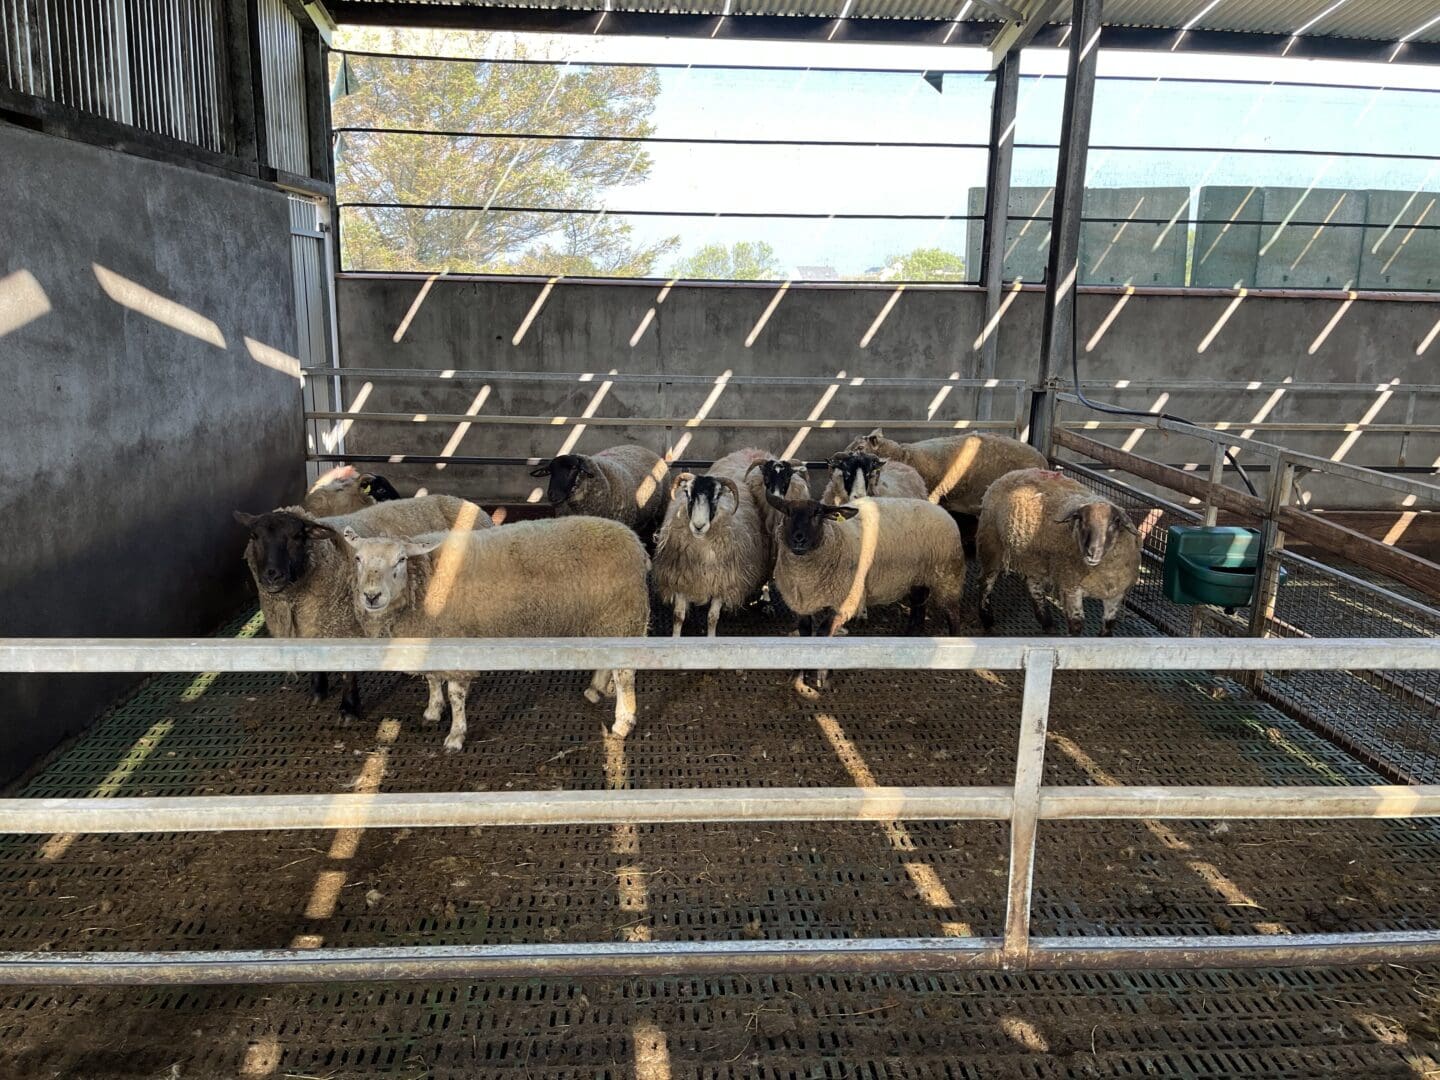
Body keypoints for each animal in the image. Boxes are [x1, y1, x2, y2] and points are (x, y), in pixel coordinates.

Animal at [232, 494, 490, 718]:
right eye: (254, 536)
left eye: (297, 536)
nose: (272, 576)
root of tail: (465, 502)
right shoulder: (311, 628)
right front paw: (318, 692)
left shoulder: (348, 626)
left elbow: (349, 672)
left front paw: (349, 709)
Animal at [343, 516, 650, 750]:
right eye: (357, 558)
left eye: (401, 559)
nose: (371, 596)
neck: (425, 580)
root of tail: (636, 542)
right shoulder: (430, 637)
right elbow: (432, 679)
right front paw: (432, 710)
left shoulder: (458, 644)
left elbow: (456, 695)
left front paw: (456, 735)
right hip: (605, 620)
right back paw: (595, 690)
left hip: (622, 616)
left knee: (624, 674)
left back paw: (623, 722)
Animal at [653, 448, 772, 637]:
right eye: (688, 494)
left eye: (716, 497)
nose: (698, 526)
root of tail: (751, 451)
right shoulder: (680, 579)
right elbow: (678, 616)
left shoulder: (722, 582)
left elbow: (712, 618)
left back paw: (766, 597)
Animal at [767, 494, 966, 692]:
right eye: (787, 513)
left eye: (817, 514)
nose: (798, 539)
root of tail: (942, 510)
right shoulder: (801, 604)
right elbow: (804, 635)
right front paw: (798, 676)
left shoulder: (844, 601)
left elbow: (824, 633)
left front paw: (825, 677)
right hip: (917, 576)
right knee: (919, 606)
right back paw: (910, 637)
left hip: (948, 575)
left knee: (953, 613)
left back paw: (955, 648)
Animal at [976, 467, 1141, 637]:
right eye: (1081, 520)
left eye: (1114, 523)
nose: (1092, 552)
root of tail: (1014, 473)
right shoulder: (1071, 587)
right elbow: (1076, 624)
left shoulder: (1116, 595)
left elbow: (1108, 626)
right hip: (991, 544)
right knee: (986, 582)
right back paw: (987, 619)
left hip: (1034, 559)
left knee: (1034, 587)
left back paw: (1047, 623)